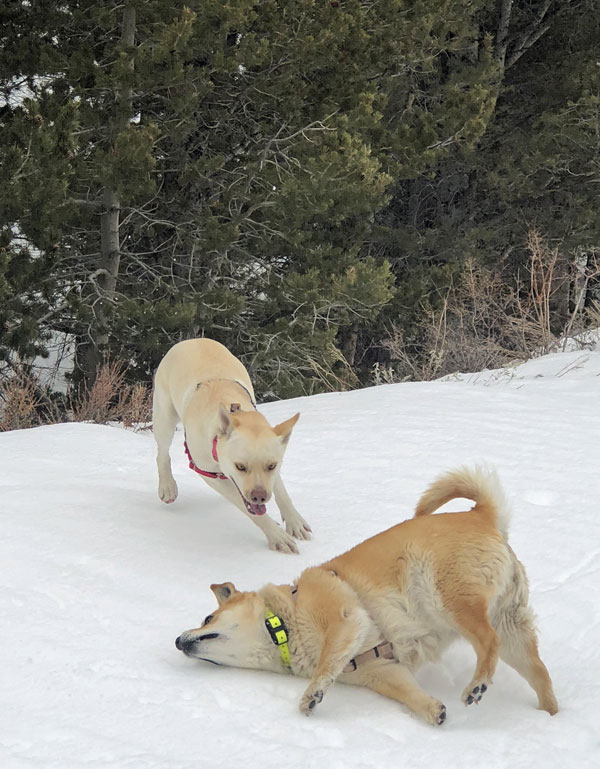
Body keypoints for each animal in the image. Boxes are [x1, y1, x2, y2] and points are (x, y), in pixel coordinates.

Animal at [152, 338, 312, 552]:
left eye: (271, 465)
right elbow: (250, 510)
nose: (259, 496)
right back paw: (167, 486)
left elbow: (281, 492)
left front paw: (294, 522)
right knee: (162, 452)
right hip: (164, 417)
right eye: (240, 466)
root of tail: (192, 340)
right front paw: (276, 535)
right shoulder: (209, 474)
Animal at [175, 464, 556, 724]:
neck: (283, 624)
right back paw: (550, 717)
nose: (178, 642)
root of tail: (482, 515)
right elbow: (408, 693)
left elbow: (326, 662)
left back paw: (477, 685)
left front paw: (312, 694)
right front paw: (432, 710)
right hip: (512, 630)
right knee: (540, 675)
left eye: (208, 617)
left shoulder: (344, 618)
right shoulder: (381, 671)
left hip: (450, 600)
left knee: (488, 641)